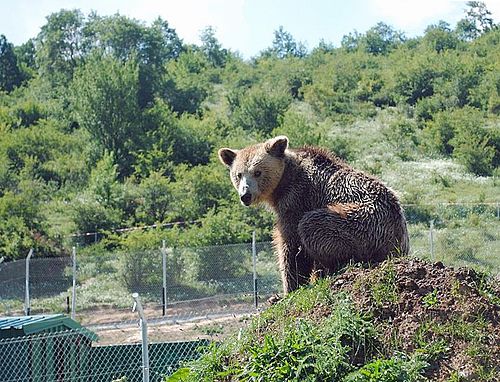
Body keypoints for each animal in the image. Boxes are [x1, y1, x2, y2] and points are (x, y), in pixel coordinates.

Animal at [220, 136, 410, 294]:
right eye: (238, 174)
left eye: (257, 172)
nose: (245, 195)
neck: (282, 185)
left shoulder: (297, 200)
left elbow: (291, 246)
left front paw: (290, 287)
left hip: (365, 223)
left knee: (313, 225)